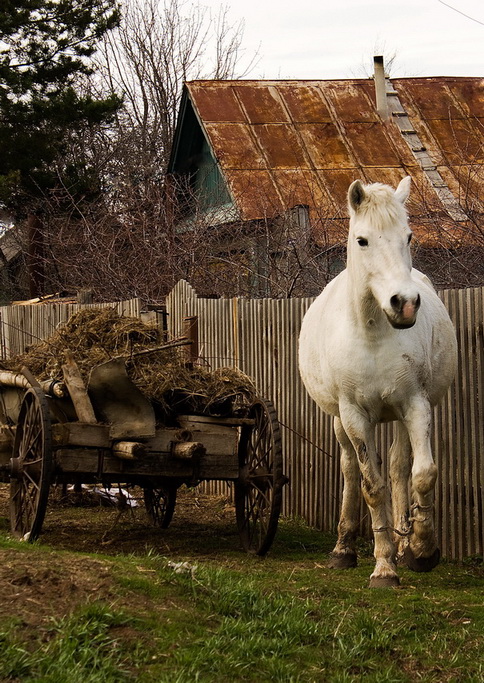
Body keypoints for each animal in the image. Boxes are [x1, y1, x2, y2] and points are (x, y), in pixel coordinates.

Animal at [298, 176, 458, 588]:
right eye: (363, 240)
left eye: (409, 236)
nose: (405, 303)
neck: (373, 333)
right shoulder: (354, 416)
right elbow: (372, 486)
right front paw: (383, 567)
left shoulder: (415, 405)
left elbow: (422, 474)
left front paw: (420, 550)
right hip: (340, 422)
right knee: (350, 470)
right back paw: (344, 549)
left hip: (400, 416)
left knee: (401, 466)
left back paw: (405, 542)